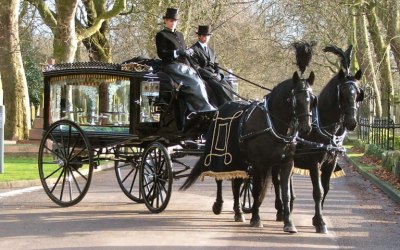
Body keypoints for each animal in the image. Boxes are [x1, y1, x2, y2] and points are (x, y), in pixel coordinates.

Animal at [180, 42, 316, 232]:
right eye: (294, 99)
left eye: (312, 99)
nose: (306, 128)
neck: (273, 123)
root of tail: (221, 108)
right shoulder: (259, 164)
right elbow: (257, 190)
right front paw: (256, 218)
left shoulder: (285, 163)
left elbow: (285, 192)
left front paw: (288, 222)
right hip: (223, 156)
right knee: (221, 178)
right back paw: (219, 205)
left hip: (238, 159)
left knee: (237, 183)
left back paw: (238, 212)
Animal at [274, 44, 364, 232]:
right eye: (343, 93)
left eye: (358, 93)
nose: (352, 122)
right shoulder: (314, 162)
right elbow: (318, 191)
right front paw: (320, 221)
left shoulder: (330, 162)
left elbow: (326, 189)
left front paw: (317, 218)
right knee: (276, 181)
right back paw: (280, 210)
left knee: (287, 180)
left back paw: (289, 207)